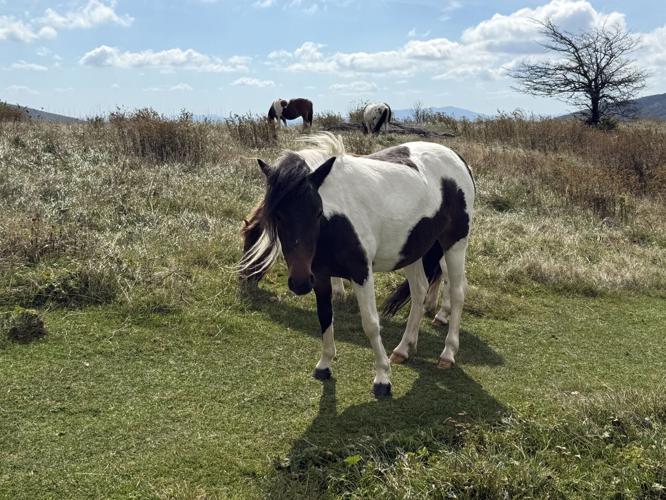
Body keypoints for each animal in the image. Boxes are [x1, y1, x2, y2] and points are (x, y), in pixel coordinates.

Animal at [240, 133, 475, 398]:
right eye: (277, 215)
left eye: (317, 211)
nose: (299, 283)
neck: (335, 220)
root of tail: (456, 157)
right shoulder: (319, 275)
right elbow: (325, 316)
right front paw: (324, 364)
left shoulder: (362, 273)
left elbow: (371, 324)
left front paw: (382, 377)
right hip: (413, 251)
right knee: (419, 292)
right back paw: (403, 348)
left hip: (455, 244)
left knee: (457, 293)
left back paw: (448, 352)